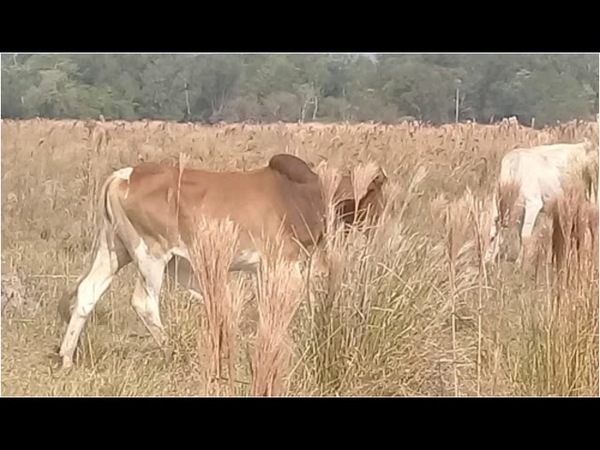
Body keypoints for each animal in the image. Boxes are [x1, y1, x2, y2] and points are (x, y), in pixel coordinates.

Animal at [58, 153, 386, 368]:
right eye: (376, 199)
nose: (376, 228)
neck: (302, 195)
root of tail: (125, 175)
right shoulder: (282, 264)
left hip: (114, 250)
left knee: (87, 292)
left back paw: (66, 357)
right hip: (151, 254)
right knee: (144, 302)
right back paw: (174, 352)